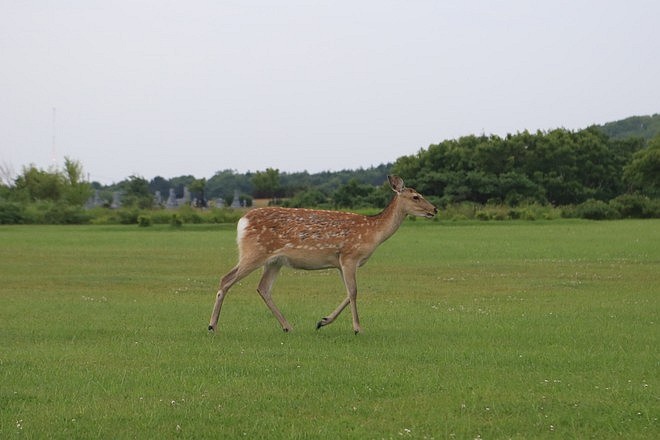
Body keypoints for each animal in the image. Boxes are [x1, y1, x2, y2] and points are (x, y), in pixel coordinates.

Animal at [208, 175, 438, 334]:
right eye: (416, 196)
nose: (434, 209)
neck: (373, 233)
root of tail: (242, 221)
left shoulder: (339, 262)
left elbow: (348, 293)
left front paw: (322, 321)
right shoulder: (349, 256)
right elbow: (354, 292)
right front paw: (357, 328)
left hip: (274, 261)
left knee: (262, 288)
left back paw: (287, 327)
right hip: (254, 252)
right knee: (226, 279)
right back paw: (212, 326)